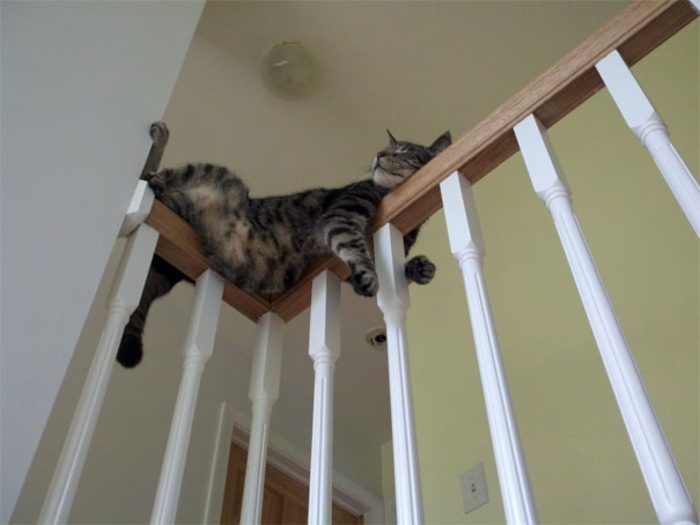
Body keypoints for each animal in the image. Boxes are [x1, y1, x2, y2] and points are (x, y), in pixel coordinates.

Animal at [117, 124, 452, 368]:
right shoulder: (340, 216)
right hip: (216, 173)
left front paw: (419, 267)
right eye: (388, 148)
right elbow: (356, 249)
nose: (378, 153)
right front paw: (370, 276)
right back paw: (158, 154)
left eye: (403, 151)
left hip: (183, 207)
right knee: (148, 176)